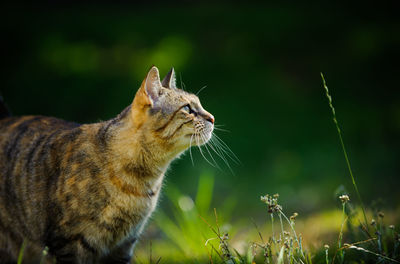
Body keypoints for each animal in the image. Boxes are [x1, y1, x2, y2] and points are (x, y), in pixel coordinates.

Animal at [0, 66, 216, 264]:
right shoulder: (67, 243)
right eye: (187, 109)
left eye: (199, 104)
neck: (142, 181)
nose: (212, 118)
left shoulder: (124, 244)